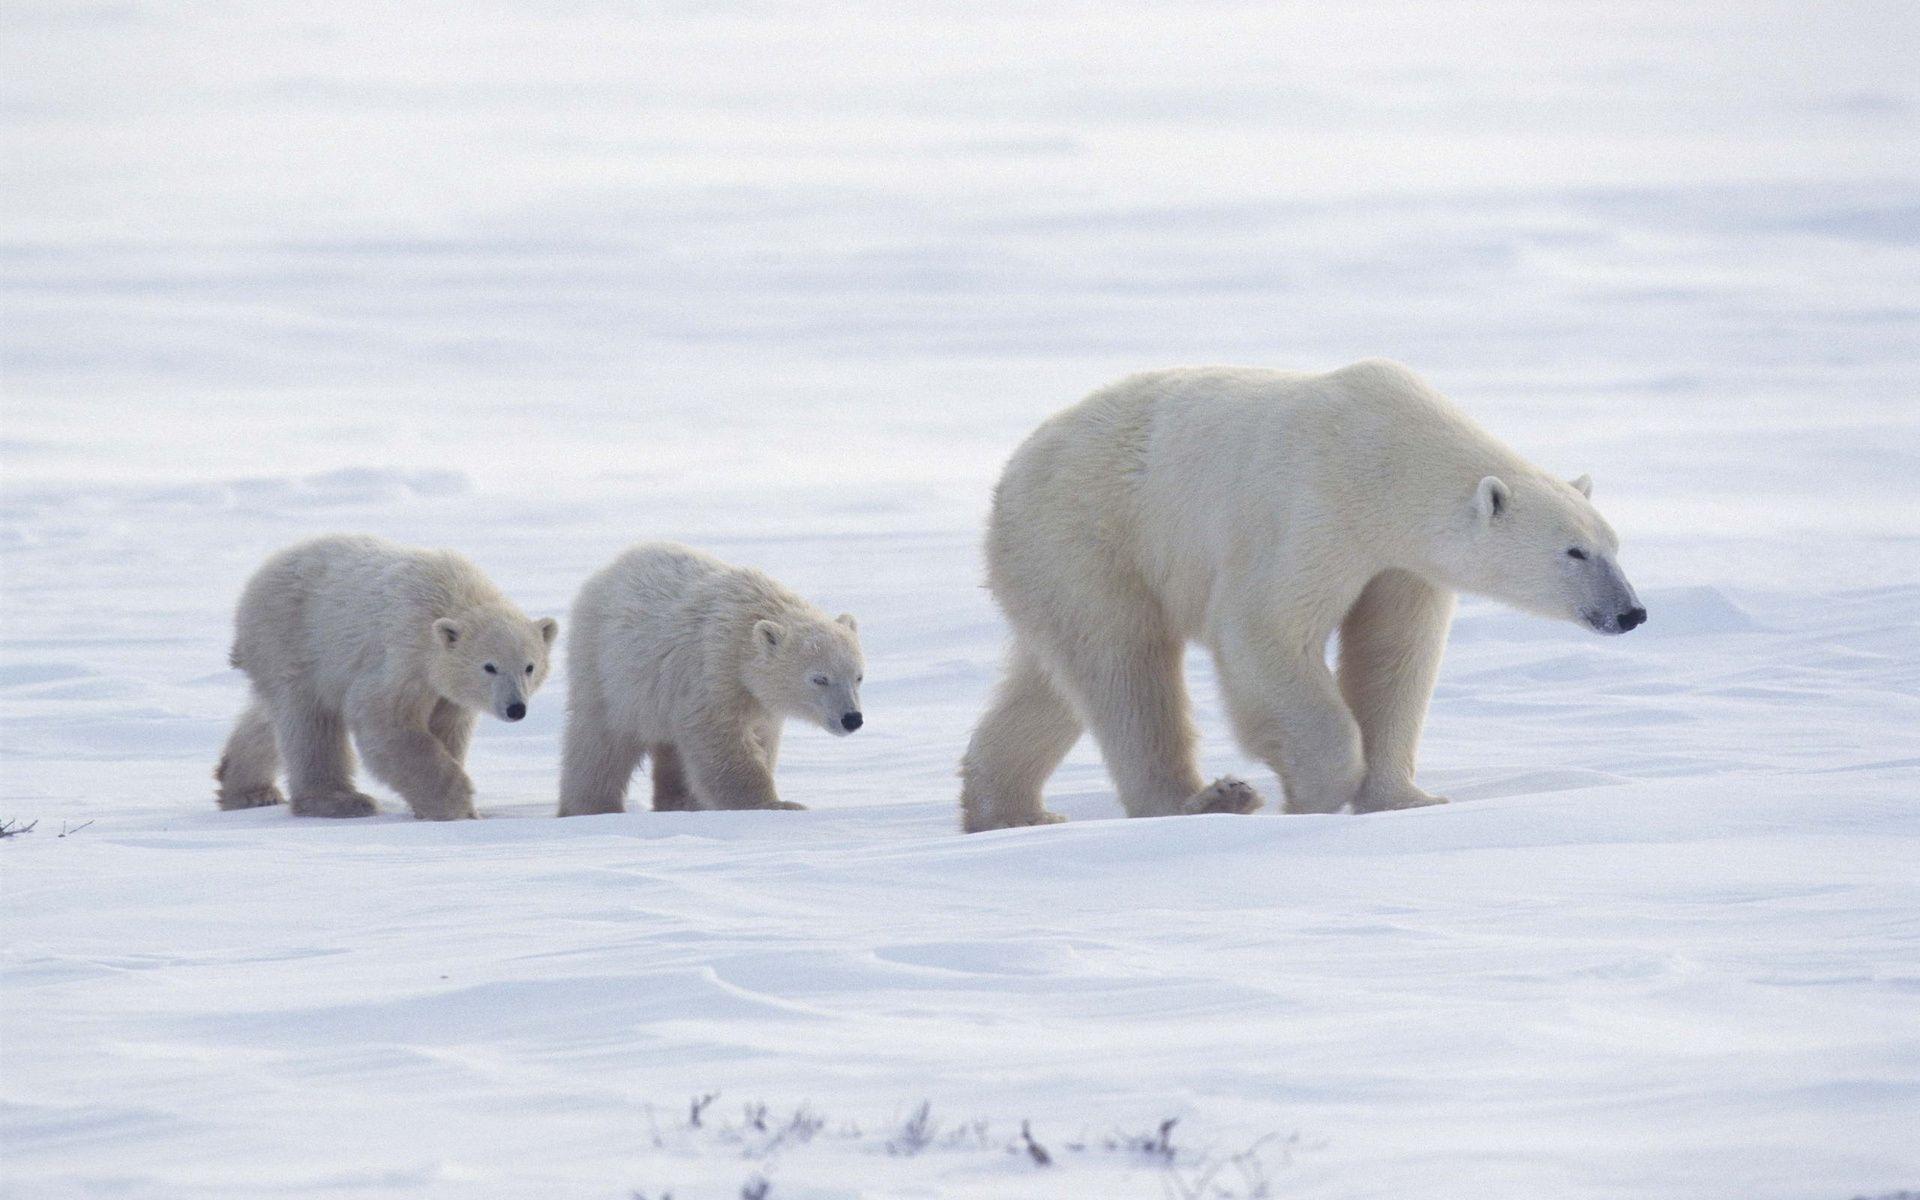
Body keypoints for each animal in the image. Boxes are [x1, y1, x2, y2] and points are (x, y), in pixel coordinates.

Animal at [214, 534, 559, 820]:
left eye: (529, 666)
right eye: (489, 666)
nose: (516, 708)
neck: (454, 595)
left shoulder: (447, 691)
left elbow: (448, 727)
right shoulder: (404, 652)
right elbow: (385, 719)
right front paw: (456, 804)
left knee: (269, 718)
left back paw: (247, 789)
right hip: (293, 639)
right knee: (310, 722)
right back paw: (341, 801)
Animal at [557, 542, 864, 816]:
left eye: (858, 676)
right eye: (819, 678)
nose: (852, 718)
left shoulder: (758, 702)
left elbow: (762, 739)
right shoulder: (712, 670)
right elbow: (720, 739)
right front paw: (777, 805)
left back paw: (678, 803)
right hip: (606, 668)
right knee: (601, 742)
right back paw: (591, 807)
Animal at [959, 359, 1645, 832]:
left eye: (1614, 544)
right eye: (1574, 552)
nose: (1631, 612)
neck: (1389, 455)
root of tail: (1013, 473)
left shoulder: (1401, 564)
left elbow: (1394, 657)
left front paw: (1407, 798)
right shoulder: (1314, 509)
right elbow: (1266, 630)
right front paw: (1313, 792)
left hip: (1058, 563)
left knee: (1053, 679)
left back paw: (1008, 810)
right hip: (1094, 531)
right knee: (1126, 666)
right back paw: (1205, 800)